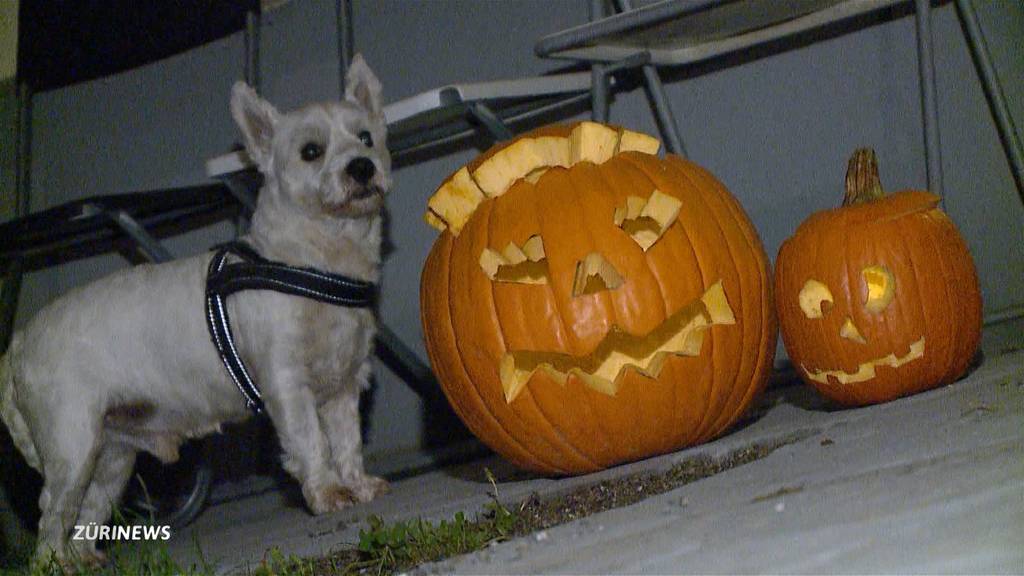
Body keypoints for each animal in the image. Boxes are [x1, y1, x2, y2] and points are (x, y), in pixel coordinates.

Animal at [0, 53, 389, 561]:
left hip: (111, 458)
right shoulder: (287, 384)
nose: (362, 167)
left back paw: (83, 561)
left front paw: (357, 484)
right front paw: (327, 493)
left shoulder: (343, 387)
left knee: (85, 515)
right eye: (311, 151)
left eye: (366, 137)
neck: (312, 262)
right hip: (72, 446)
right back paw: (57, 563)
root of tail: (17, 345)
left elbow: (347, 443)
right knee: (52, 518)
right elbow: (311, 443)